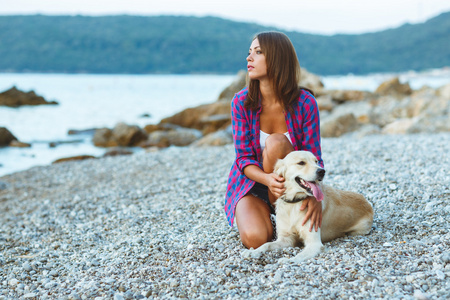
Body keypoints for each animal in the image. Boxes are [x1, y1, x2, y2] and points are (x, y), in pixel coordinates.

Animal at [243, 151, 372, 262]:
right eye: (301, 163)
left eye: (316, 161)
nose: (322, 171)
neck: (294, 203)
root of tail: (367, 202)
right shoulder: (286, 239)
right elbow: (267, 244)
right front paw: (253, 251)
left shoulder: (314, 243)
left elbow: (299, 256)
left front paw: (287, 260)